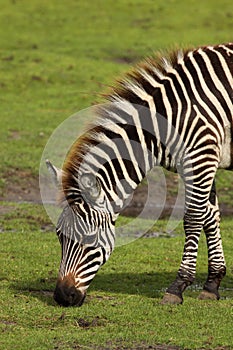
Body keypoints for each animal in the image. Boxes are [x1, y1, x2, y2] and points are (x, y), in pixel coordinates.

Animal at [47, 43, 233, 306]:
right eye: (59, 236)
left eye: (91, 240)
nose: (62, 296)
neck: (166, 119)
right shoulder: (197, 161)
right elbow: (210, 216)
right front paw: (212, 284)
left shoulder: (201, 156)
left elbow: (193, 217)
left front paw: (178, 286)